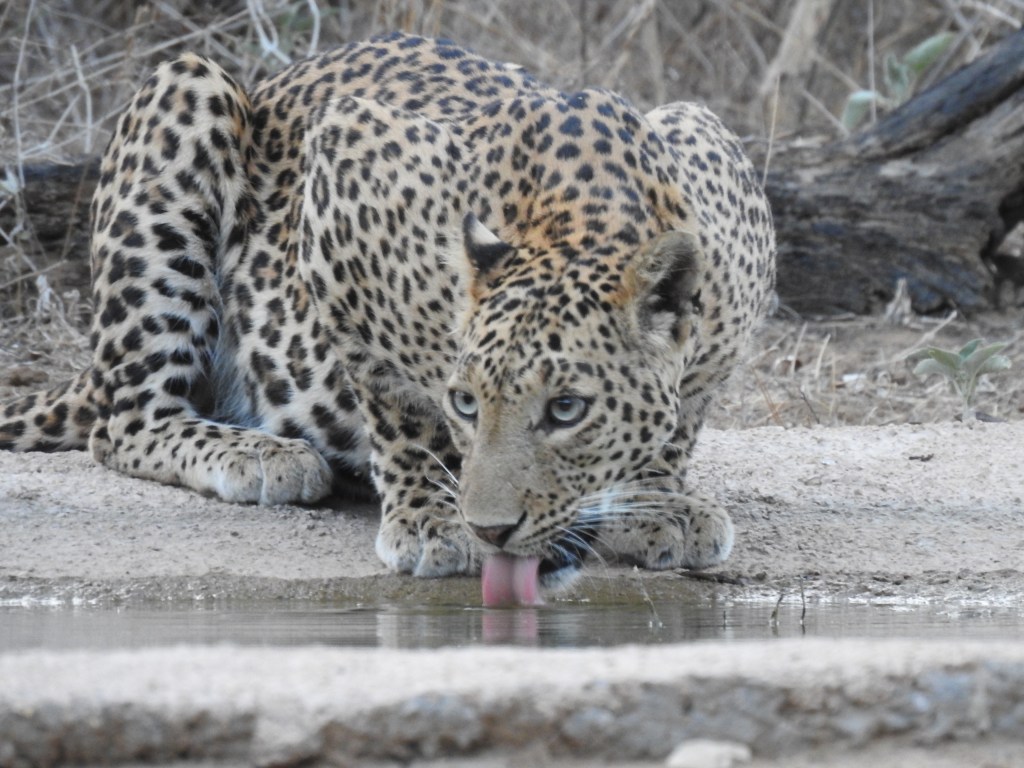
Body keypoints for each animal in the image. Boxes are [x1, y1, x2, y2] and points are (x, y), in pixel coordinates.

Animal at [1, 33, 775, 601]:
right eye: (466, 403)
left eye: (566, 410)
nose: (492, 530)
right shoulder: (343, 169)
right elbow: (397, 402)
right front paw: (432, 519)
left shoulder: (710, 149)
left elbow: (679, 422)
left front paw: (653, 501)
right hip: (189, 89)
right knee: (125, 423)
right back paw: (260, 454)